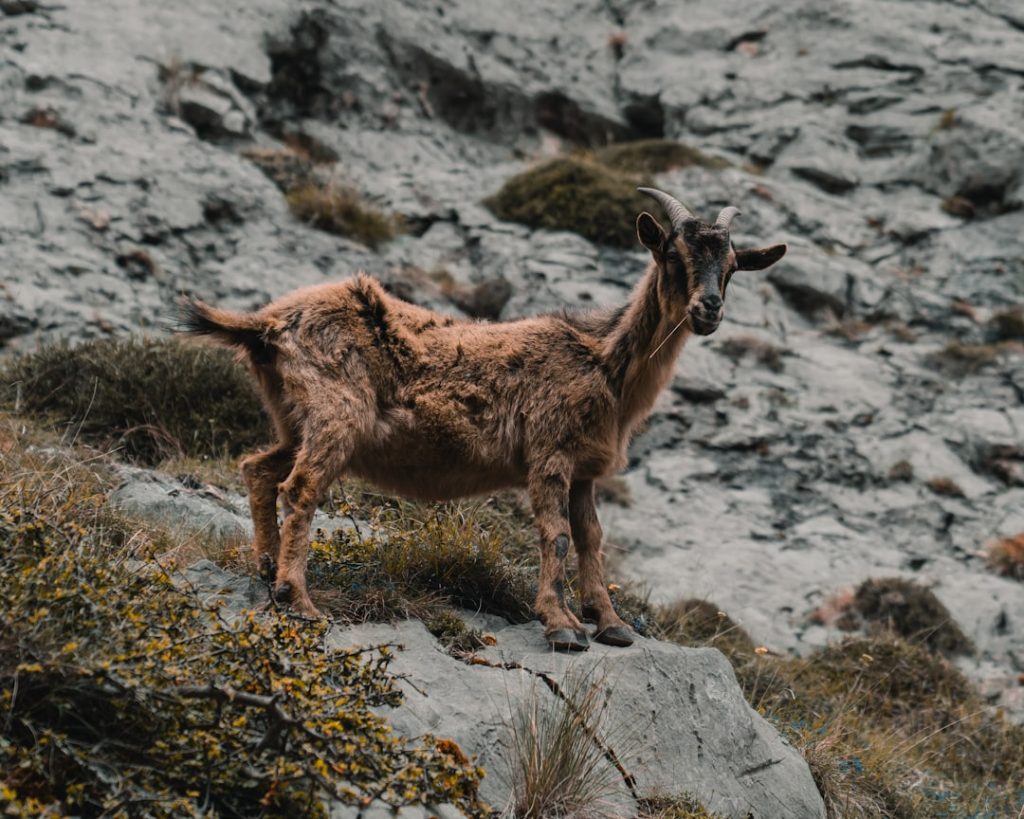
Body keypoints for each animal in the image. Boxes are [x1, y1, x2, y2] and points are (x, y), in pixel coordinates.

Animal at [180, 187, 786, 651]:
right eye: (672, 256)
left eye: (733, 267)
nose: (708, 309)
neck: (603, 360)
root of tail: (264, 325)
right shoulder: (548, 453)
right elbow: (556, 536)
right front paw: (562, 626)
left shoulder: (585, 470)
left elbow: (591, 538)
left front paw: (609, 623)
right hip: (336, 413)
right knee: (300, 486)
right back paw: (298, 599)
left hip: (294, 418)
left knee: (259, 467)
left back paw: (264, 567)